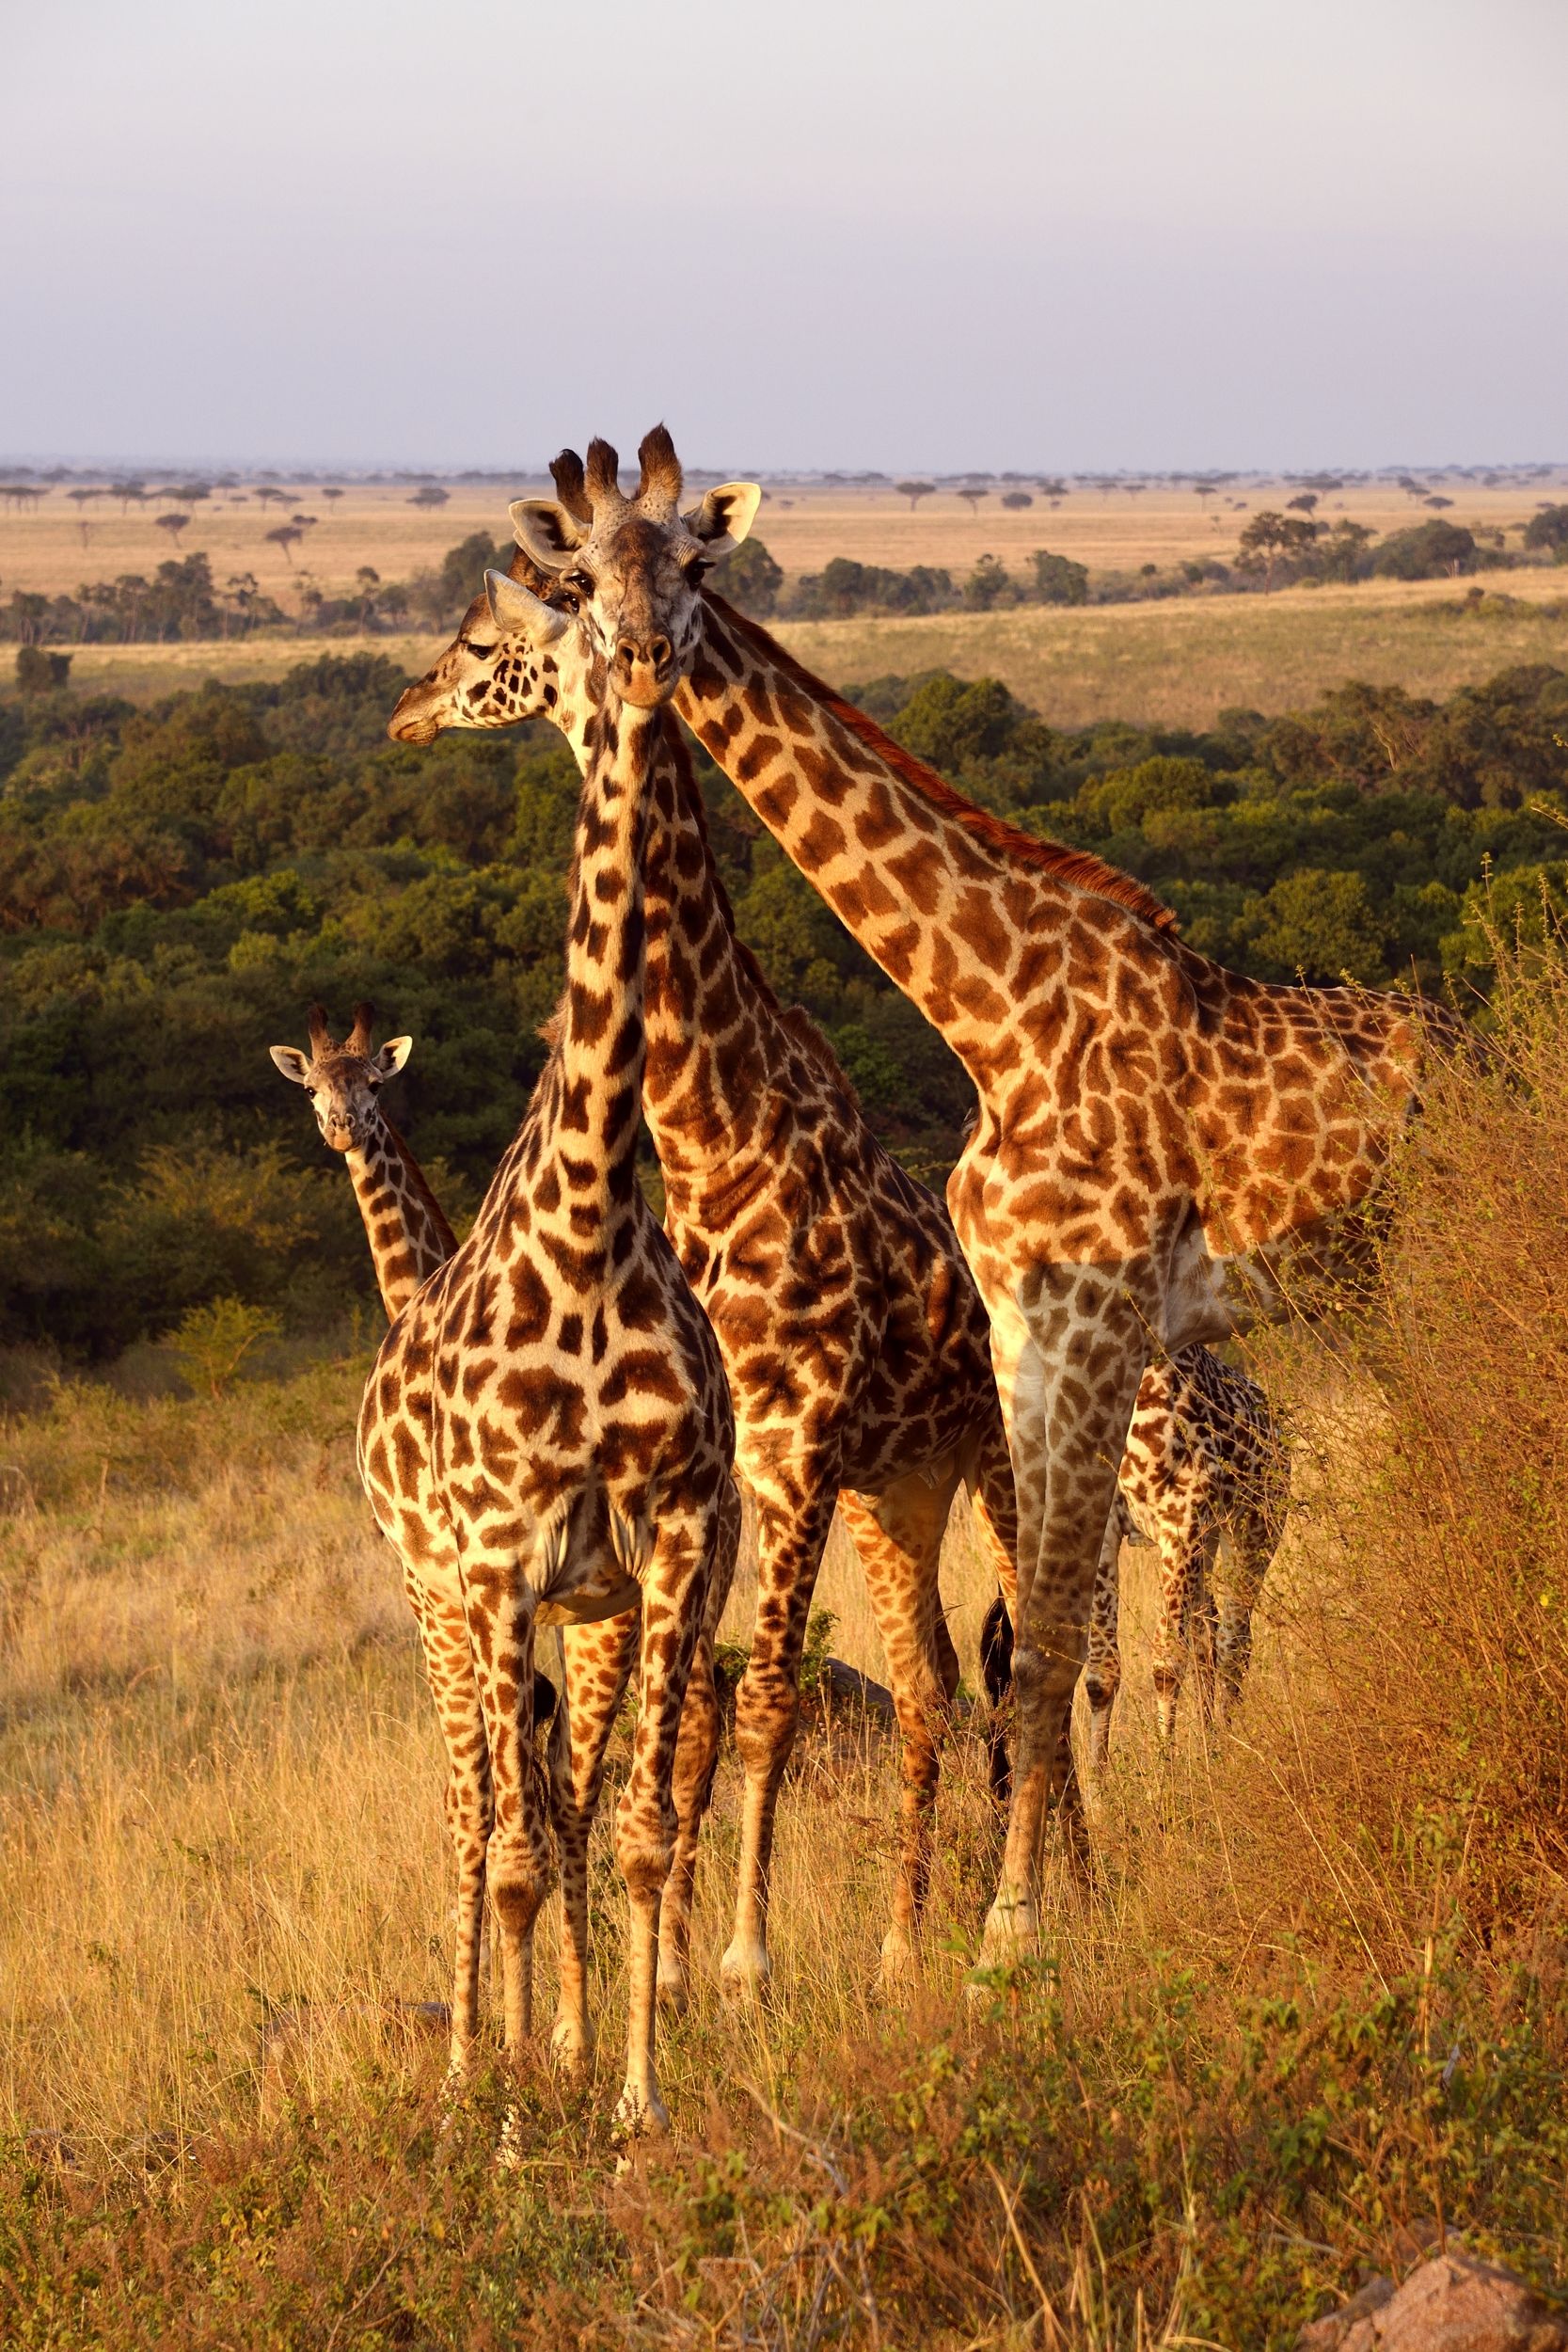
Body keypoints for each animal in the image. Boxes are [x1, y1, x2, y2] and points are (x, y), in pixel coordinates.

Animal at [389, 539, 1023, 1994]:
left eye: (480, 642)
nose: (403, 708)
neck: (711, 1126)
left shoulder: (785, 1449)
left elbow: (764, 1705)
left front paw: (736, 1961)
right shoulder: (745, 1471)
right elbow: (687, 1726)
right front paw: (672, 1967)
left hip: (999, 1461)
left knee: (1061, 1658)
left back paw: (1024, 1914)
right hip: (901, 1490)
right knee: (934, 1687)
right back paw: (905, 1943)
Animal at [981, 1342, 1289, 1797]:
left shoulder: (1182, 1521)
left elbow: (1165, 1665)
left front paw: (1162, 1785)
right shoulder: (1107, 1528)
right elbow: (1101, 1673)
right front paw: (1100, 1791)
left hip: (1255, 1528)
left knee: (1235, 1642)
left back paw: (1227, 1750)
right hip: (1210, 1542)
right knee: (1209, 1634)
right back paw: (1211, 1748)